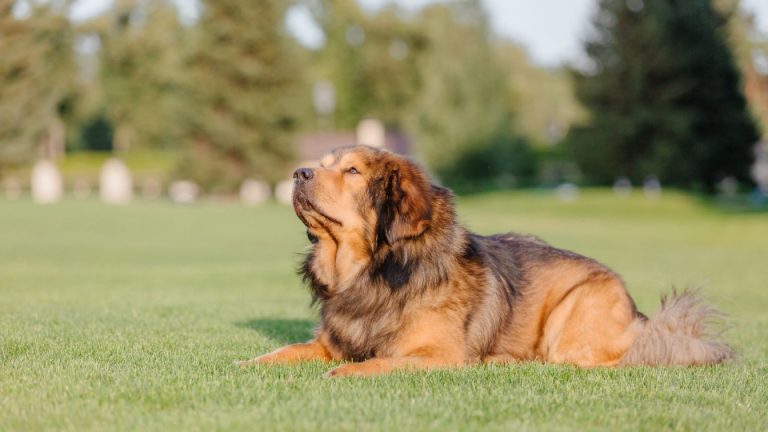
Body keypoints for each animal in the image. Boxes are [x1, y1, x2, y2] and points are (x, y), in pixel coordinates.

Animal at [237, 145, 736, 374]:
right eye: (321, 164)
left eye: (353, 170)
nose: (298, 173)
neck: (376, 273)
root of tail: (644, 318)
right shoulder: (329, 342)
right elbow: (283, 351)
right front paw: (246, 364)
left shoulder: (438, 355)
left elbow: (378, 362)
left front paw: (344, 374)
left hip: (574, 314)